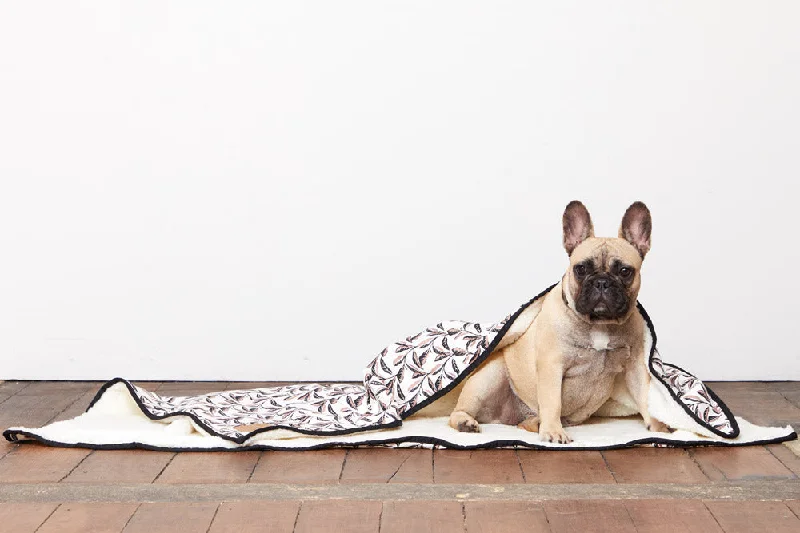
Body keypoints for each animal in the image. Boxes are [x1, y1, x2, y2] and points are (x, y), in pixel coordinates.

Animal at [450, 200, 668, 440]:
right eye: (580, 269)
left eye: (624, 271)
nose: (601, 282)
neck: (599, 324)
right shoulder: (552, 365)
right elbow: (552, 402)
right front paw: (554, 431)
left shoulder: (635, 369)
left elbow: (645, 398)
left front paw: (659, 427)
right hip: (490, 377)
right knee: (459, 410)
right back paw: (465, 422)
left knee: (528, 422)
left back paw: (535, 423)